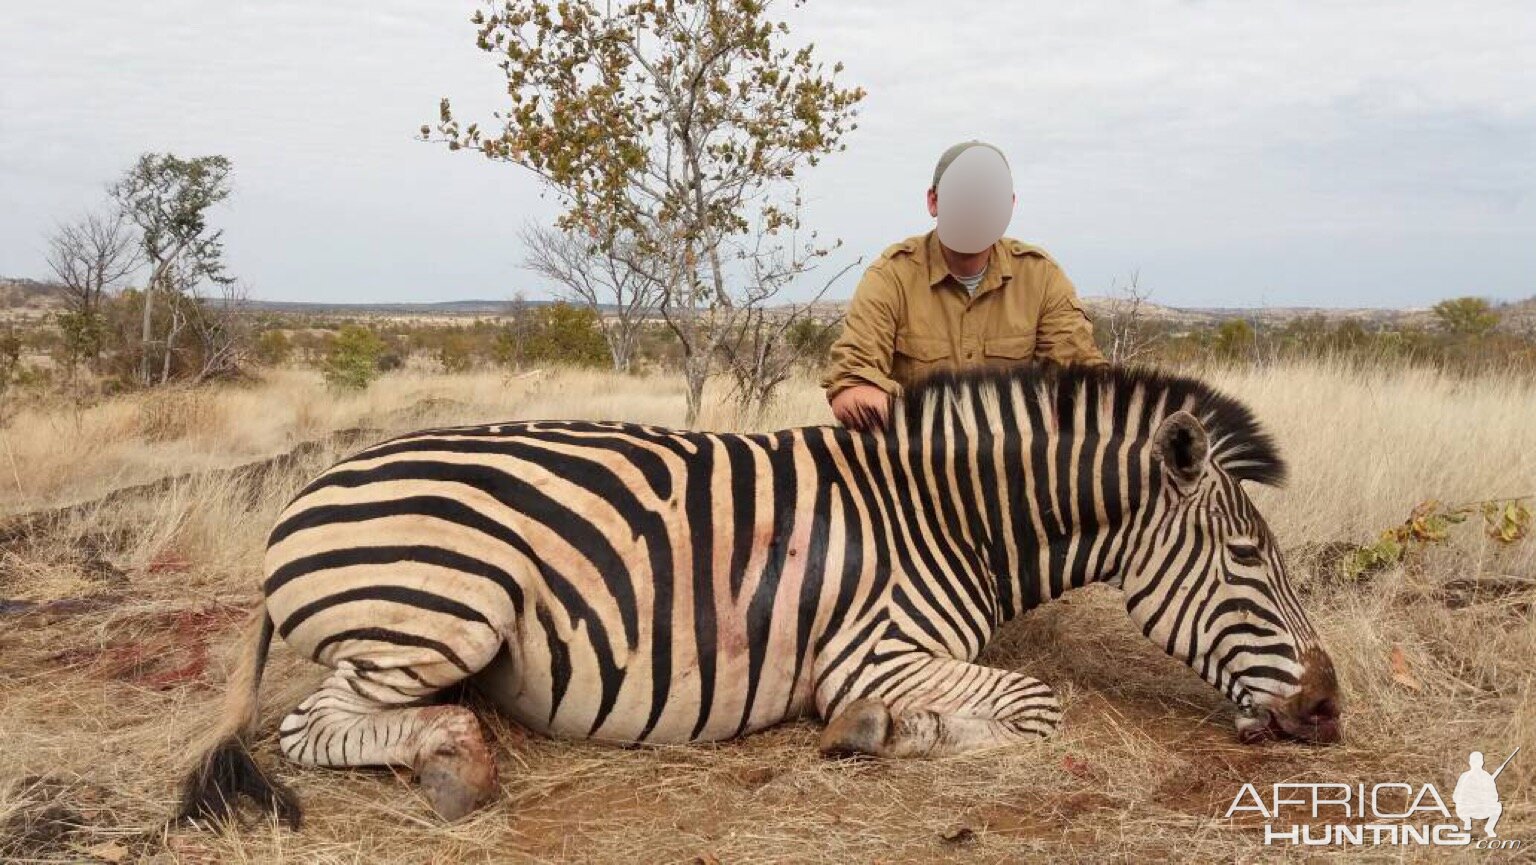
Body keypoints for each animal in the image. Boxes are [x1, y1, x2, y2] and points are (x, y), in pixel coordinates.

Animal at [179, 364, 1339, 823]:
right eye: (1249, 557)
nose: (1327, 706)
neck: (945, 516)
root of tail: (300, 498)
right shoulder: (873, 649)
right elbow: (1032, 704)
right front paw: (877, 732)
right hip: (452, 606)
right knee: (310, 723)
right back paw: (456, 759)